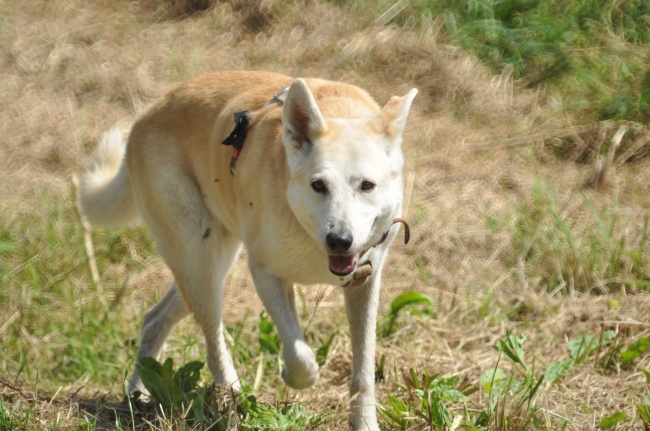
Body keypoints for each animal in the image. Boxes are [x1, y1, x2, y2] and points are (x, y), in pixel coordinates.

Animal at [78, 69, 416, 430]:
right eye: (318, 185)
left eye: (367, 186)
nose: (339, 240)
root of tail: (144, 118)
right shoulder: (266, 275)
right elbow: (299, 355)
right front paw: (292, 374)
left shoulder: (364, 282)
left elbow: (363, 370)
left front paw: (365, 423)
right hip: (199, 259)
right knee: (213, 345)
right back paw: (234, 401)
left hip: (211, 264)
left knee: (155, 319)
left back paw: (136, 396)